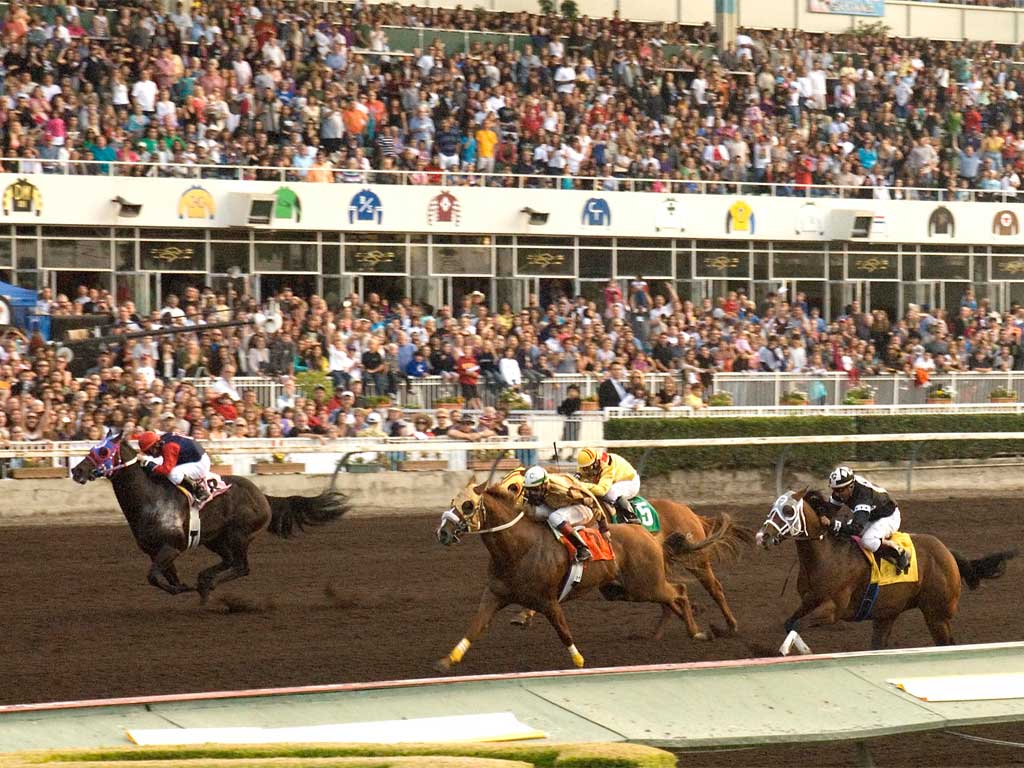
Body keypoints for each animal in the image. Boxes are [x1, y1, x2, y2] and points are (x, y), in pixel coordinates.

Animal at [71, 436, 352, 606]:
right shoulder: (156, 551)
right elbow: (163, 577)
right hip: (215, 539)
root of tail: (263, 496)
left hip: (239, 535)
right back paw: (205, 581)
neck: (151, 499)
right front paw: (184, 586)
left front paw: (185, 588)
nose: (76, 470)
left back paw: (208, 583)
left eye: (103, 451)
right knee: (228, 562)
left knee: (241, 566)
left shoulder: (170, 547)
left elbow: (153, 577)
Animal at [434, 487, 745, 671]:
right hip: (626, 588)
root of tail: (650, 536)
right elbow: (475, 627)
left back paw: (709, 629)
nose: (443, 532)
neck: (519, 548)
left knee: (685, 591)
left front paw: (579, 661)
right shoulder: (495, 594)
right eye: (452, 501)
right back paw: (668, 632)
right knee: (673, 598)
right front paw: (448, 660)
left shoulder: (548, 600)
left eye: (467, 505)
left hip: (653, 581)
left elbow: (563, 630)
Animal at [757, 489, 1011, 647]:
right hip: (887, 613)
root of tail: (947, 552)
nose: (762, 536)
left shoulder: (834, 609)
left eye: (788, 511)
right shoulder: (808, 601)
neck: (827, 556)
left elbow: (798, 624)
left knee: (946, 643)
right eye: (772, 507)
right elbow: (790, 623)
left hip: (937, 615)